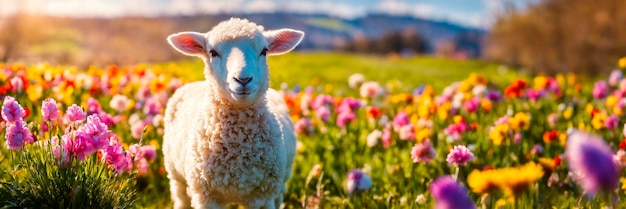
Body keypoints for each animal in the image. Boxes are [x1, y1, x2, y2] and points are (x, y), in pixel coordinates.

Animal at [163, 18, 302, 209]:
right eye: (213, 52)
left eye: (264, 51)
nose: (243, 80)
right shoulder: (206, 196)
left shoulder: (262, 196)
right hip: (175, 175)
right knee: (181, 198)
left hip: (280, 183)